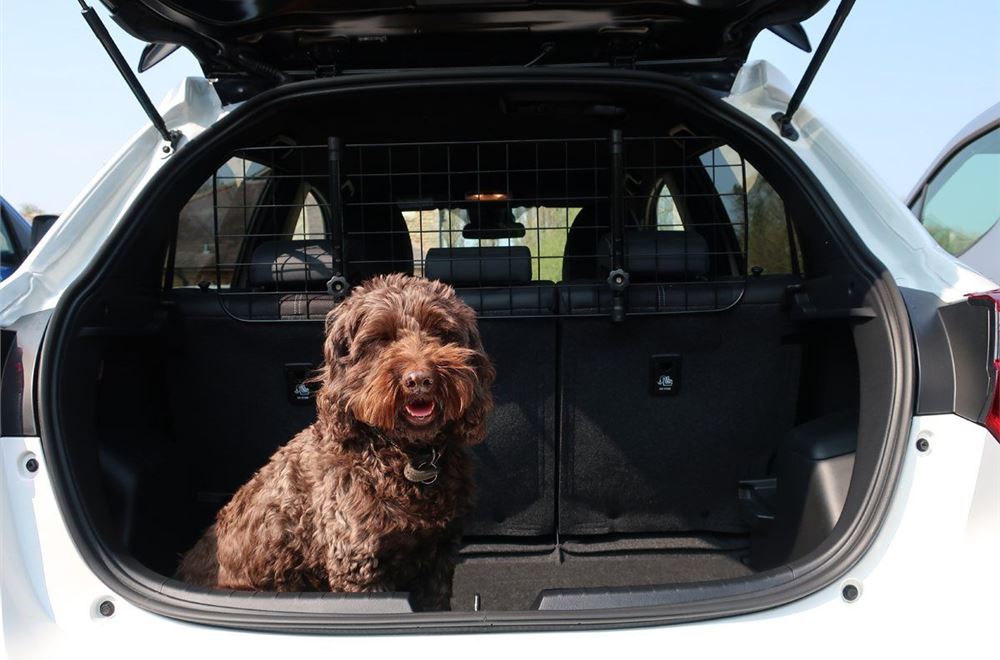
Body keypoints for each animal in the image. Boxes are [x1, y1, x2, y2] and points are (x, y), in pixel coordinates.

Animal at [179, 274, 496, 608]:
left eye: (440, 332)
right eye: (380, 339)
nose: (420, 379)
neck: (405, 455)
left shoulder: (438, 553)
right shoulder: (357, 561)